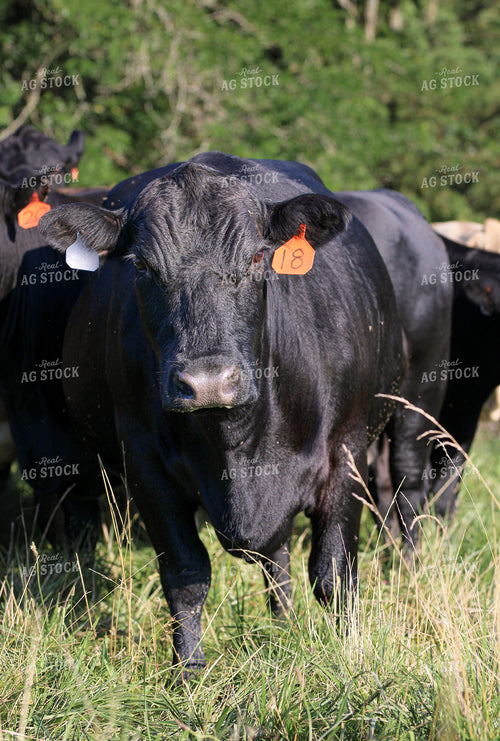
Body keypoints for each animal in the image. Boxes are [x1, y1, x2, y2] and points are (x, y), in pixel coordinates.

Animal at [39, 151, 451, 677]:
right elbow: (186, 574)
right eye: (143, 267)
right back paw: (282, 626)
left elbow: (334, 573)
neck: (237, 445)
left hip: (418, 396)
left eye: (257, 257)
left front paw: (350, 656)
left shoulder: (345, 451)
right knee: (277, 558)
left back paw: (409, 573)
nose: (209, 381)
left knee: (407, 488)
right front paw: (189, 674)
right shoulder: (145, 464)